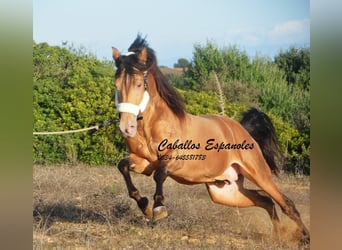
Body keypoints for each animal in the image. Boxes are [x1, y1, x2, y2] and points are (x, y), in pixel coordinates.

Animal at [112, 35, 310, 244]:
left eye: (138, 84)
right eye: (116, 85)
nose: (126, 127)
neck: (153, 127)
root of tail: (243, 131)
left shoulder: (177, 162)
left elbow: (160, 174)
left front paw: (158, 208)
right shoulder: (144, 162)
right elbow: (123, 166)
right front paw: (144, 204)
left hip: (259, 174)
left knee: (286, 203)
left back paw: (304, 237)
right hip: (225, 192)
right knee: (266, 200)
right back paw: (278, 235)